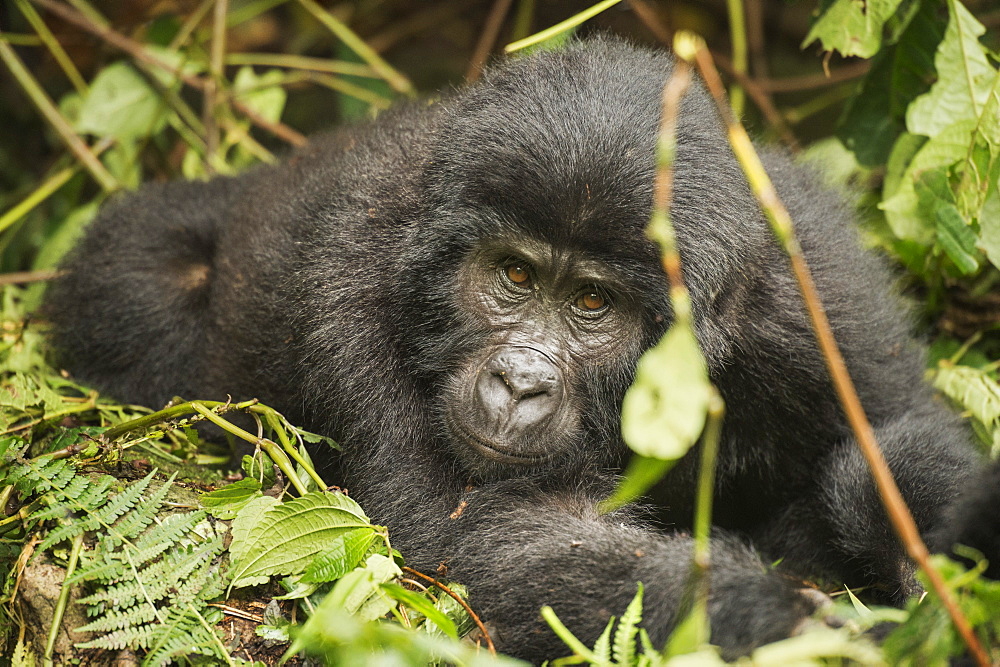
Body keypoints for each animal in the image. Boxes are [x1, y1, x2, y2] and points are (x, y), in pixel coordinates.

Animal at [45, 39, 992, 660]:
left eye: (591, 302)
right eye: (512, 274)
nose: (518, 380)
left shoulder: (818, 297)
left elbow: (900, 429)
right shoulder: (350, 283)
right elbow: (469, 539)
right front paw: (765, 617)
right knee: (140, 282)